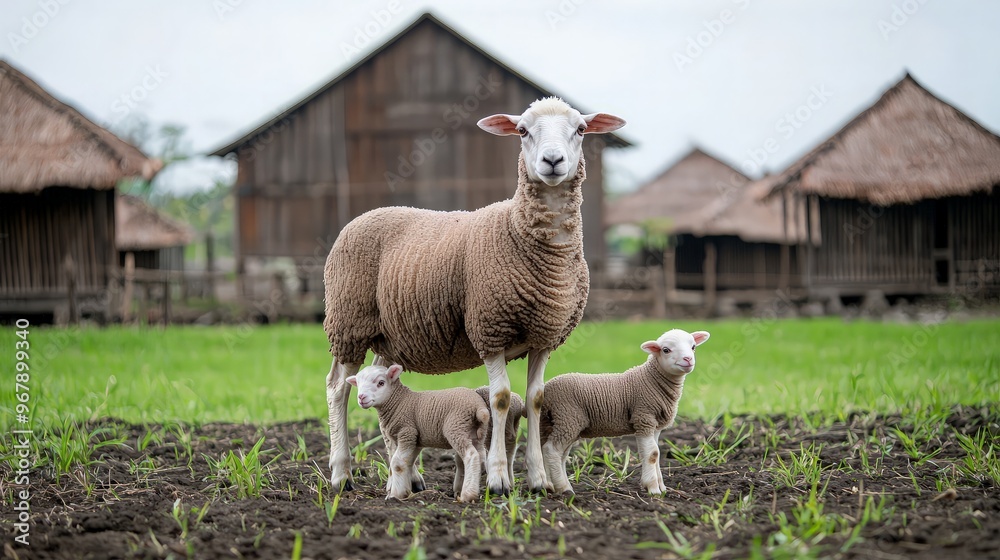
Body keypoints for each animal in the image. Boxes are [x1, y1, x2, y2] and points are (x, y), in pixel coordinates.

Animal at [346, 363, 490, 502]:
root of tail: (479, 407)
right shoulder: (415, 440)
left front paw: (395, 495)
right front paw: (406, 490)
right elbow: (407, 463)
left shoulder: (407, 432)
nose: (361, 397)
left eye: (381, 383)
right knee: (479, 456)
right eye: (358, 384)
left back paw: (468, 495)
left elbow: (397, 463)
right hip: (476, 433)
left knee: (471, 455)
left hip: (456, 427)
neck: (399, 401)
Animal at [539, 329, 710, 495]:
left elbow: (656, 453)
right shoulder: (643, 417)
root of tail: (547, 389)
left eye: (693, 347)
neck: (652, 380)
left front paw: (661, 487)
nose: (688, 359)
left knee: (553, 452)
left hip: (555, 423)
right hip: (568, 417)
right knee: (551, 450)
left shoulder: (655, 425)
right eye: (666, 350)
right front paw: (653, 489)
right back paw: (563, 488)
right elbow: (652, 454)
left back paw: (553, 486)